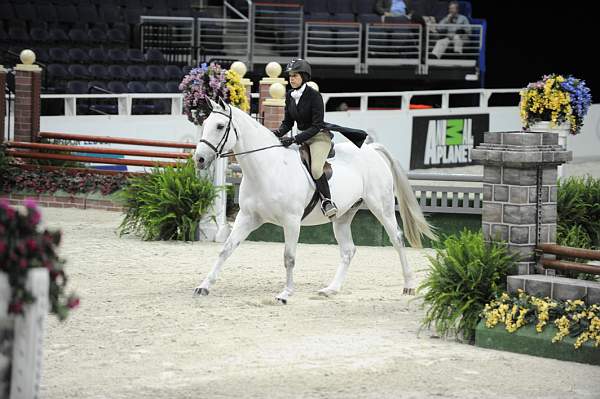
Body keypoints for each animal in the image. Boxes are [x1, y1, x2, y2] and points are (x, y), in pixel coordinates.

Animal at [195, 99, 434, 304]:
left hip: (381, 207)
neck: (267, 168)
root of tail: (371, 149)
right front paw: (204, 286)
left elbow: (289, 257)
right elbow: (226, 249)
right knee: (348, 250)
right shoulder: (247, 217)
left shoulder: (291, 221)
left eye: (219, 126)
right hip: (343, 216)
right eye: (204, 124)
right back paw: (331, 289)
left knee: (397, 239)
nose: (199, 159)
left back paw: (409, 284)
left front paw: (285, 294)